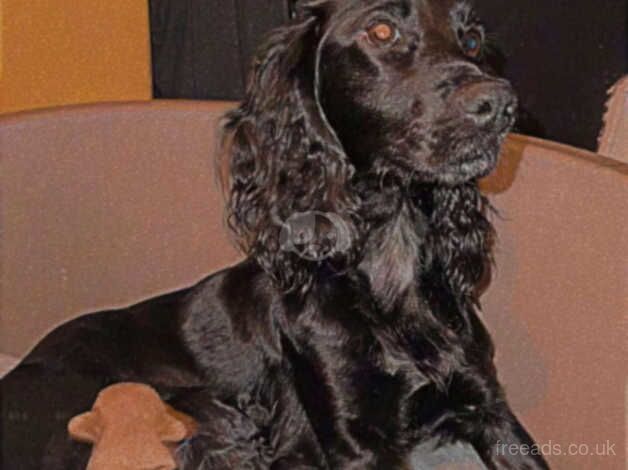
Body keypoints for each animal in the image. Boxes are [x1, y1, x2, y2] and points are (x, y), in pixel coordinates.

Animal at [0, 0, 548, 470]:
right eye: (381, 30)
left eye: (471, 38)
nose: (501, 105)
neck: (391, 263)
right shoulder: (358, 442)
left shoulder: (490, 407)